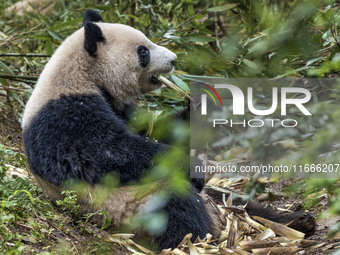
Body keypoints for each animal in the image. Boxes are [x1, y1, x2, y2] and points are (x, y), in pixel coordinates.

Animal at [21, 9, 219, 249]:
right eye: (143, 51)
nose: (173, 59)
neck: (84, 73)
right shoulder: (63, 115)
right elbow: (105, 154)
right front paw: (190, 168)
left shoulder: (120, 106)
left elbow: (155, 131)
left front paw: (201, 106)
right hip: (126, 206)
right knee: (178, 205)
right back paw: (194, 239)